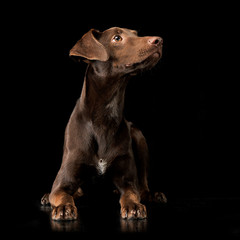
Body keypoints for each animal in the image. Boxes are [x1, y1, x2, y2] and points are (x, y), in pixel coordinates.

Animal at [40, 27, 166, 220]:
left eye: (136, 34)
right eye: (117, 38)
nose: (158, 40)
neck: (105, 116)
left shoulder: (127, 180)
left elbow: (131, 193)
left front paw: (133, 206)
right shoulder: (63, 182)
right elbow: (62, 195)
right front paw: (63, 207)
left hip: (138, 136)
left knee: (143, 186)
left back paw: (153, 194)